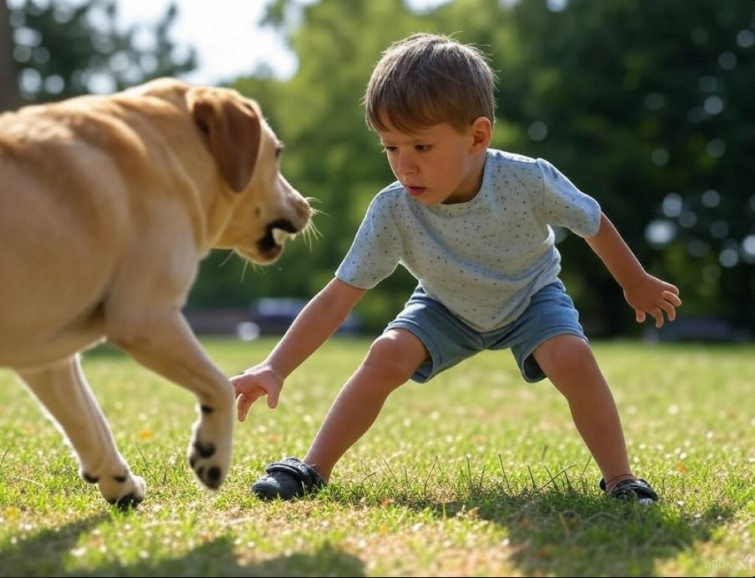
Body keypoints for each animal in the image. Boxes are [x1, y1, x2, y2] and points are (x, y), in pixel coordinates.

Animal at [0, 77, 312, 508]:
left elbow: (91, 424)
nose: (306, 205)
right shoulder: (147, 318)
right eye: (278, 153)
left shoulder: (49, 361)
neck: (171, 150)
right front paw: (212, 454)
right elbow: (218, 382)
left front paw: (120, 484)